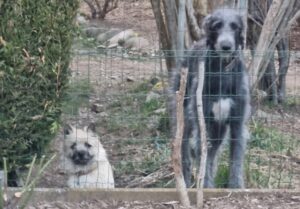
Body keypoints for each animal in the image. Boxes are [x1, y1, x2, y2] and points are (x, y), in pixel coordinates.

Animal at [180, 8, 251, 188]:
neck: (223, 71)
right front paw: (204, 187)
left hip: (218, 129)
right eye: (217, 25)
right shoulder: (202, 120)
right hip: (183, 116)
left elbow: (236, 158)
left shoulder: (237, 122)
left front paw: (235, 187)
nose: (226, 46)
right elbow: (202, 155)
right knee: (185, 152)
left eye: (235, 26)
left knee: (212, 155)